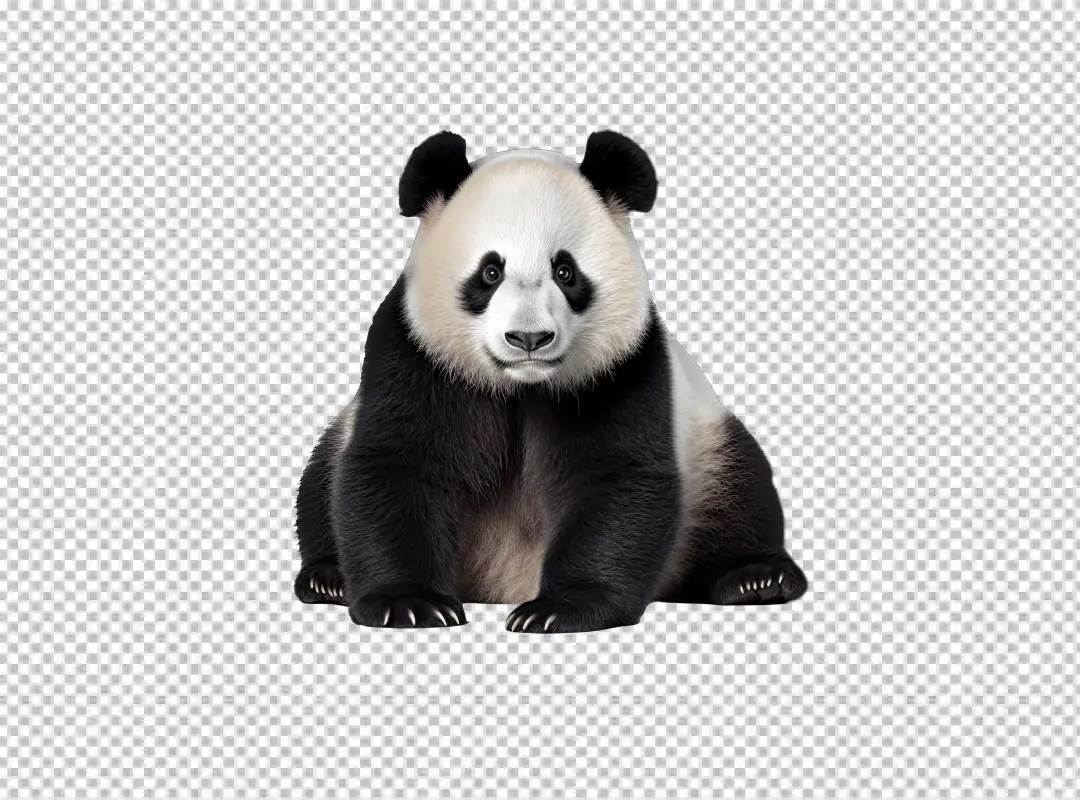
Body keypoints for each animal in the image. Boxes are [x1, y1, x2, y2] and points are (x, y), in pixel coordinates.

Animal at [294, 130, 807, 633]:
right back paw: (328, 580)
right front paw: (410, 604)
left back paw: (757, 578)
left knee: (741, 490)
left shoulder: (623, 368)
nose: (529, 338)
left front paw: (562, 608)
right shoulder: (415, 356)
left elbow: (614, 477)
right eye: (490, 271)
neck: (523, 385)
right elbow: (400, 463)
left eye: (565, 271)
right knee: (320, 481)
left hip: (707, 447)